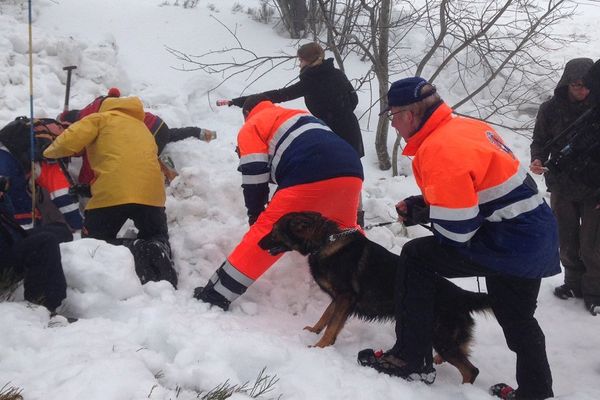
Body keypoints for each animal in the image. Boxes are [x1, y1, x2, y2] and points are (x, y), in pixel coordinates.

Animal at [258, 211, 492, 382]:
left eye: (275, 230)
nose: (259, 243)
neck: (324, 242)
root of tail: (460, 295)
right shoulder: (339, 299)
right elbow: (326, 316)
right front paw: (314, 331)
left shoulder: (345, 297)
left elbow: (332, 325)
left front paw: (319, 347)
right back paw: (437, 359)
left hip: (441, 337)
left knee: (471, 370)